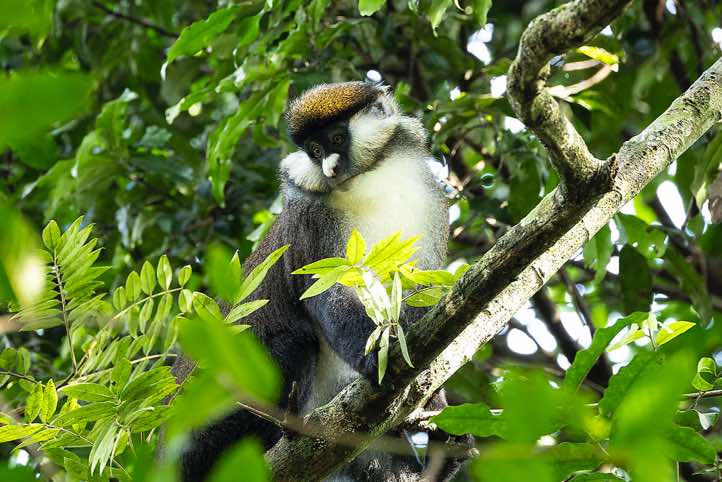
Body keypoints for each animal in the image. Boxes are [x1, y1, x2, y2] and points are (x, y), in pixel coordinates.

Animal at [173, 81, 470, 481]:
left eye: (336, 138)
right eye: (314, 151)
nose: (329, 169)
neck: (374, 185)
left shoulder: (431, 208)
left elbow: (422, 309)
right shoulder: (312, 222)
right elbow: (329, 294)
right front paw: (375, 355)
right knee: (294, 344)